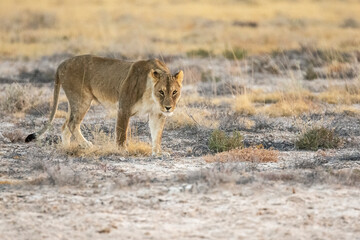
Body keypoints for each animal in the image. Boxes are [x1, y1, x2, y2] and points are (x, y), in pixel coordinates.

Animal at [25, 54, 183, 156]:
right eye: (161, 92)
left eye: (174, 92)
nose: (168, 107)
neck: (152, 96)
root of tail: (61, 64)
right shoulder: (124, 108)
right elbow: (121, 133)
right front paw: (122, 151)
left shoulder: (157, 114)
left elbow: (157, 134)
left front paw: (158, 153)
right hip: (82, 99)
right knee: (72, 124)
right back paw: (86, 144)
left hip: (74, 101)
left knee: (65, 126)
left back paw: (67, 148)